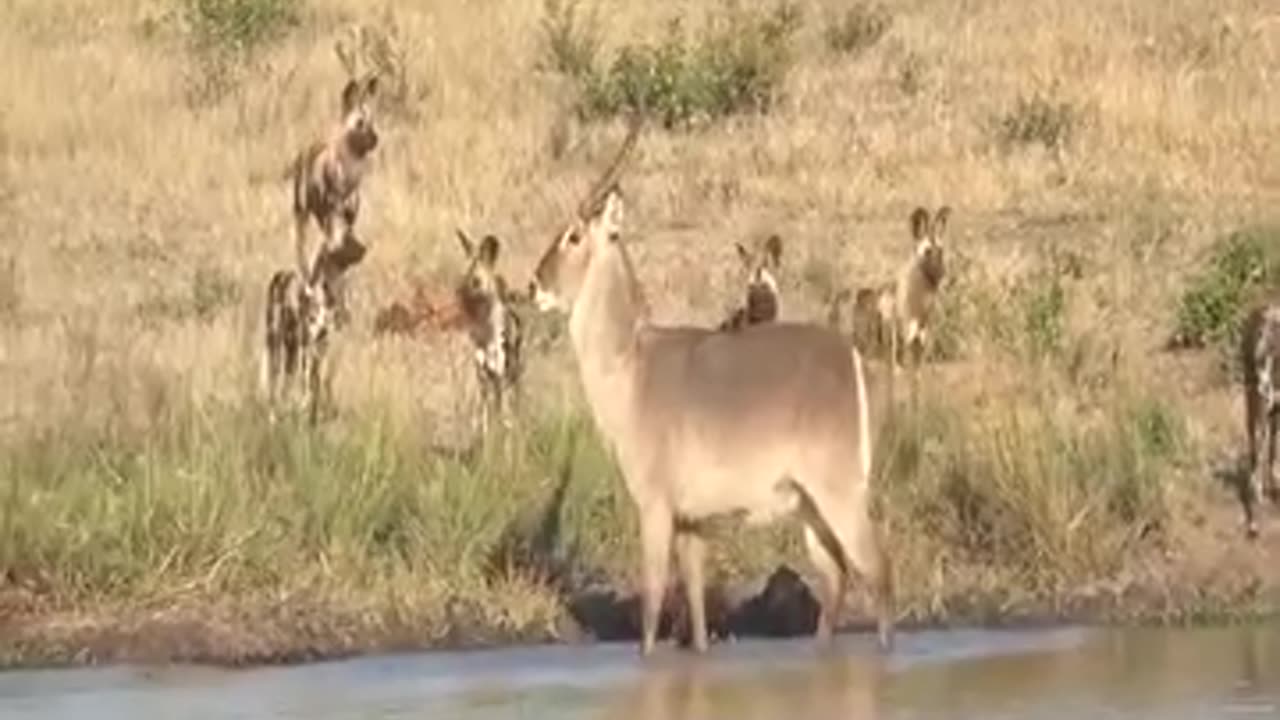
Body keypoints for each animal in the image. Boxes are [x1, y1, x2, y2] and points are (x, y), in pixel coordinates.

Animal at [282, 71, 376, 298]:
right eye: (359, 123)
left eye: (372, 121)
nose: (376, 140)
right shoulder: (329, 209)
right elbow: (330, 247)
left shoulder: (349, 213)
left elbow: (340, 246)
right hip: (302, 213)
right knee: (302, 251)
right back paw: (308, 281)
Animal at [455, 229, 524, 430]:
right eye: (461, 280)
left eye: (476, 282)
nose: (460, 299)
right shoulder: (483, 377)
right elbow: (485, 418)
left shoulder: (500, 374)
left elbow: (504, 417)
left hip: (511, 375)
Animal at [524, 119, 896, 655]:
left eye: (573, 235)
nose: (533, 286)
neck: (633, 365)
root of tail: (850, 357)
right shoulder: (692, 522)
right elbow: (696, 609)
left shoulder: (655, 508)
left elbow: (653, 603)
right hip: (808, 505)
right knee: (838, 575)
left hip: (840, 493)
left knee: (877, 571)